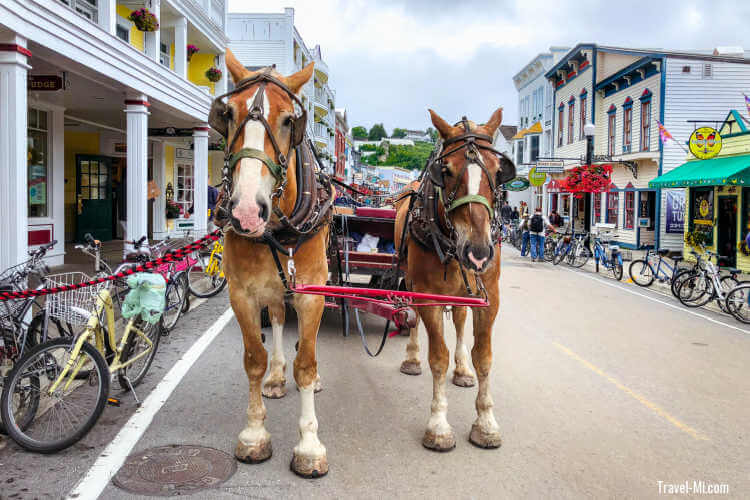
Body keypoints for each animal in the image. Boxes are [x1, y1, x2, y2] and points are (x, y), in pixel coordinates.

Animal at [214, 49, 326, 476]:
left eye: (289, 120)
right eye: (227, 114)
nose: (246, 210)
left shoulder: (313, 293)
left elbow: (306, 363)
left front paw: (309, 444)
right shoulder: (242, 294)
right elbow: (253, 359)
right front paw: (254, 433)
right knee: (277, 317)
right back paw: (278, 376)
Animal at [396, 108, 516, 450]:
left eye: (498, 171)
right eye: (445, 171)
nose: (478, 252)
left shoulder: (489, 297)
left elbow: (484, 357)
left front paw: (486, 423)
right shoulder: (429, 294)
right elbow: (437, 357)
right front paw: (438, 425)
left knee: (461, 321)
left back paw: (462, 369)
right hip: (412, 282)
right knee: (412, 316)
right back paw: (412, 358)